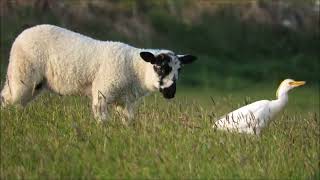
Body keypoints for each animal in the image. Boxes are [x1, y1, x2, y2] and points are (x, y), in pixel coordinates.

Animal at [0, 24, 198, 122]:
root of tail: (22, 34)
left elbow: (128, 122)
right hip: (22, 72)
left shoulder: (125, 102)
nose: (171, 93)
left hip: (35, 83)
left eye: (179, 70)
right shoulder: (102, 93)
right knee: (7, 98)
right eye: (161, 67)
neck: (135, 68)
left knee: (18, 102)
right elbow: (103, 122)